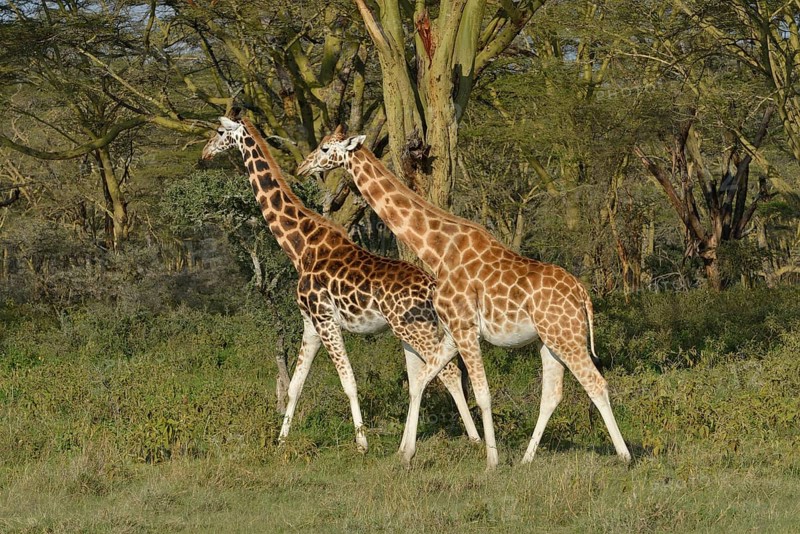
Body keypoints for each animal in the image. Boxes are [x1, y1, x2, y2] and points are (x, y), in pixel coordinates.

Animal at [201, 117, 480, 454]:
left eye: (219, 132)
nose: (204, 154)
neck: (300, 247)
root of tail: (432, 287)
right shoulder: (310, 323)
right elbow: (295, 385)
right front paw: (281, 440)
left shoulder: (326, 319)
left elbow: (349, 382)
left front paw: (362, 442)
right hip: (412, 332)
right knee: (429, 375)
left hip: (417, 330)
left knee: (449, 372)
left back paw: (474, 439)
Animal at [297, 127, 632, 469]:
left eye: (325, 149)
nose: (302, 167)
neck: (438, 250)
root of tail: (582, 294)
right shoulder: (451, 333)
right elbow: (422, 381)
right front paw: (406, 453)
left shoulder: (465, 329)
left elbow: (481, 393)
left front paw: (491, 460)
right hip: (549, 341)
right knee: (552, 394)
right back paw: (526, 459)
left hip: (567, 337)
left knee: (596, 384)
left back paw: (625, 455)